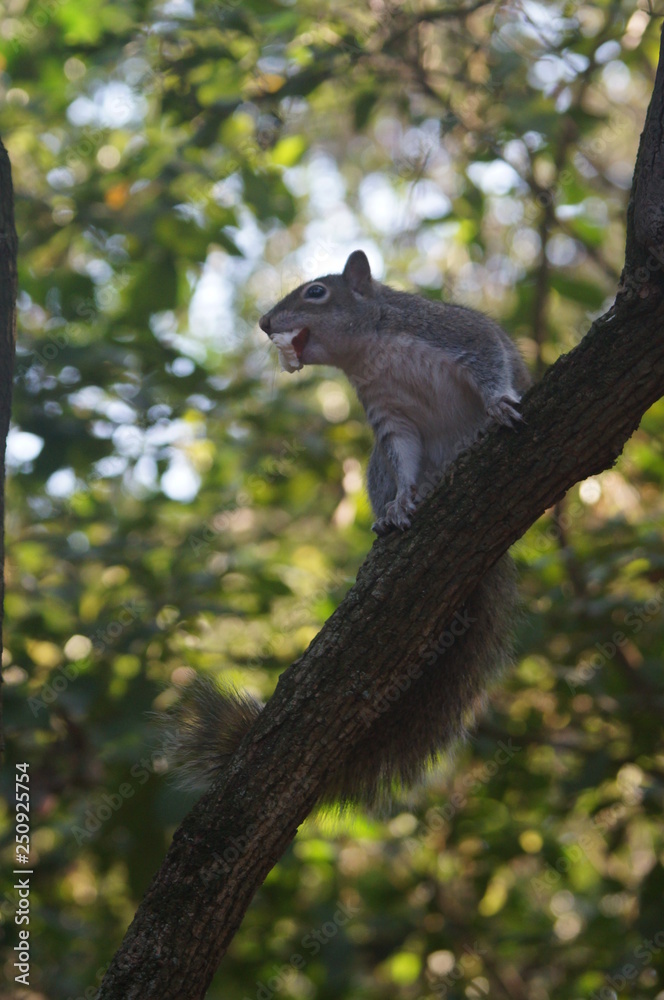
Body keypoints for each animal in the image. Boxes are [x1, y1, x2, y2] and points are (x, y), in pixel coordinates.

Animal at [163, 250, 531, 808]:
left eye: (316, 292)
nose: (265, 323)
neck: (370, 350)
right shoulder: (389, 418)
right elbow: (403, 458)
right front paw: (402, 501)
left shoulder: (451, 332)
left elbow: (488, 358)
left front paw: (498, 405)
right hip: (375, 465)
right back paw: (392, 519)